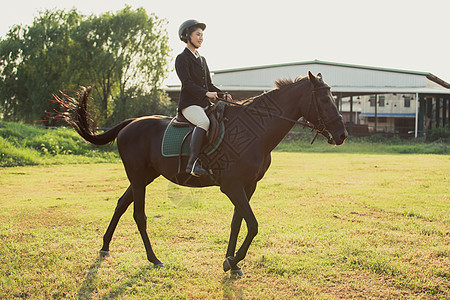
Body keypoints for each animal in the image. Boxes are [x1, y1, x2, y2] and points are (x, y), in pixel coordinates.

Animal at [55, 71, 348, 276]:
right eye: (324, 99)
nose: (342, 135)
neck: (255, 131)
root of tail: (131, 123)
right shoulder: (232, 186)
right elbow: (253, 225)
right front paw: (232, 261)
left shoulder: (248, 186)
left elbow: (237, 223)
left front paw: (231, 263)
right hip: (138, 178)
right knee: (139, 215)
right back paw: (154, 258)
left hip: (145, 177)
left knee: (120, 205)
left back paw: (105, 246)